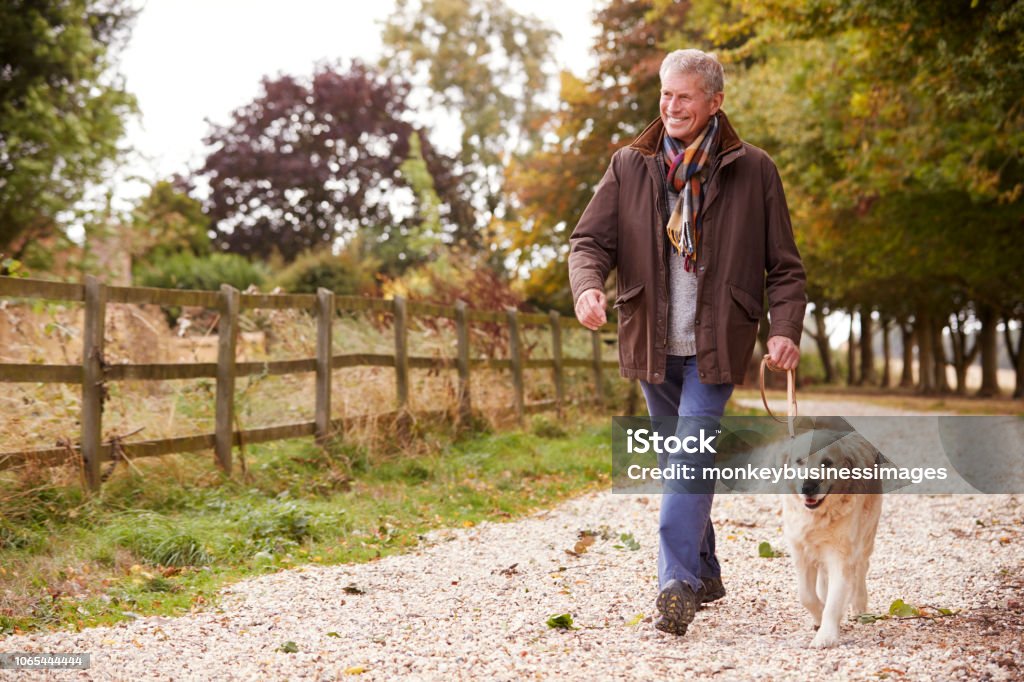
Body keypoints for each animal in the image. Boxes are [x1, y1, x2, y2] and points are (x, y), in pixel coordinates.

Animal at [778, 421, 884, 647]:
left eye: (827, 463)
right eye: (799, 461)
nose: (808, 486)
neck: (818, 515)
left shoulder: (841, 555)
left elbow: (834, 601)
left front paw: (826, 635)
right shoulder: (801, 552)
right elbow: (806, 596)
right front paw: (819, 615)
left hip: (866, 536)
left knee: (861, 568)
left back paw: (859, 605)